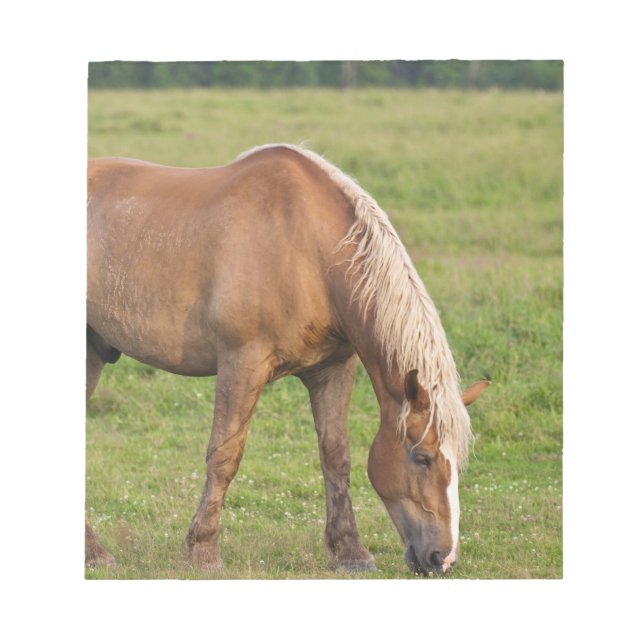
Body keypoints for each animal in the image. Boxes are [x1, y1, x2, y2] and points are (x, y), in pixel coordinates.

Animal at [86, 143, 489, 575]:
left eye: (459, 460)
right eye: (423, 458)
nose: (442, 558)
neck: (308, 249)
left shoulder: (333, 369)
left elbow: (336, 457)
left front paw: (350, 551)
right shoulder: (242, 364)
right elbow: (224, 455)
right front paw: (203, 550)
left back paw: (93, 552)